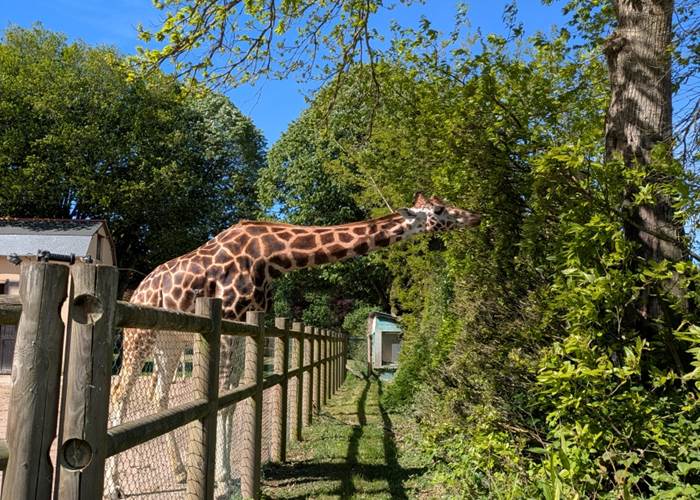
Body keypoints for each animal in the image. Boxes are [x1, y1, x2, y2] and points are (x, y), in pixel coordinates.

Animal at [107, 192, 480, 496]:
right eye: (439, 209)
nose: (474, 216)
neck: (272, 257)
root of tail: (139, 288)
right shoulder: (226, 316)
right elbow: (224, 400)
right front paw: (222, 483)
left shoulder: (244, 321)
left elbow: (232, 399)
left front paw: (225, 478)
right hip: (138, 335)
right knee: (119, 392)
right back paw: (115, 487)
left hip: (170, 339)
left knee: (160, 396)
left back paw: (181, 471)